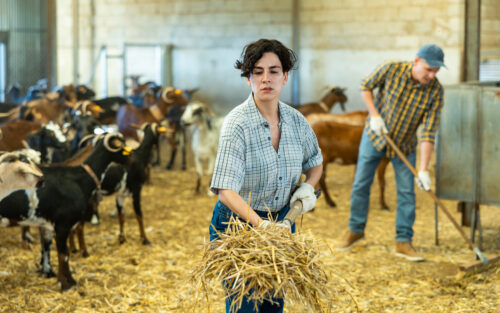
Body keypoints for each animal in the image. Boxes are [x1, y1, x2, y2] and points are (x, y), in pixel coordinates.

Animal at [0, 132, 132, 290]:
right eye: (121, 145)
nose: (131, 157)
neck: (80, 178)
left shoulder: (46, 223)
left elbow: (47, 247)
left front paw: (50, 273)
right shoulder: (63, 224)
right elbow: (64, 254)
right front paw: (67, 283)